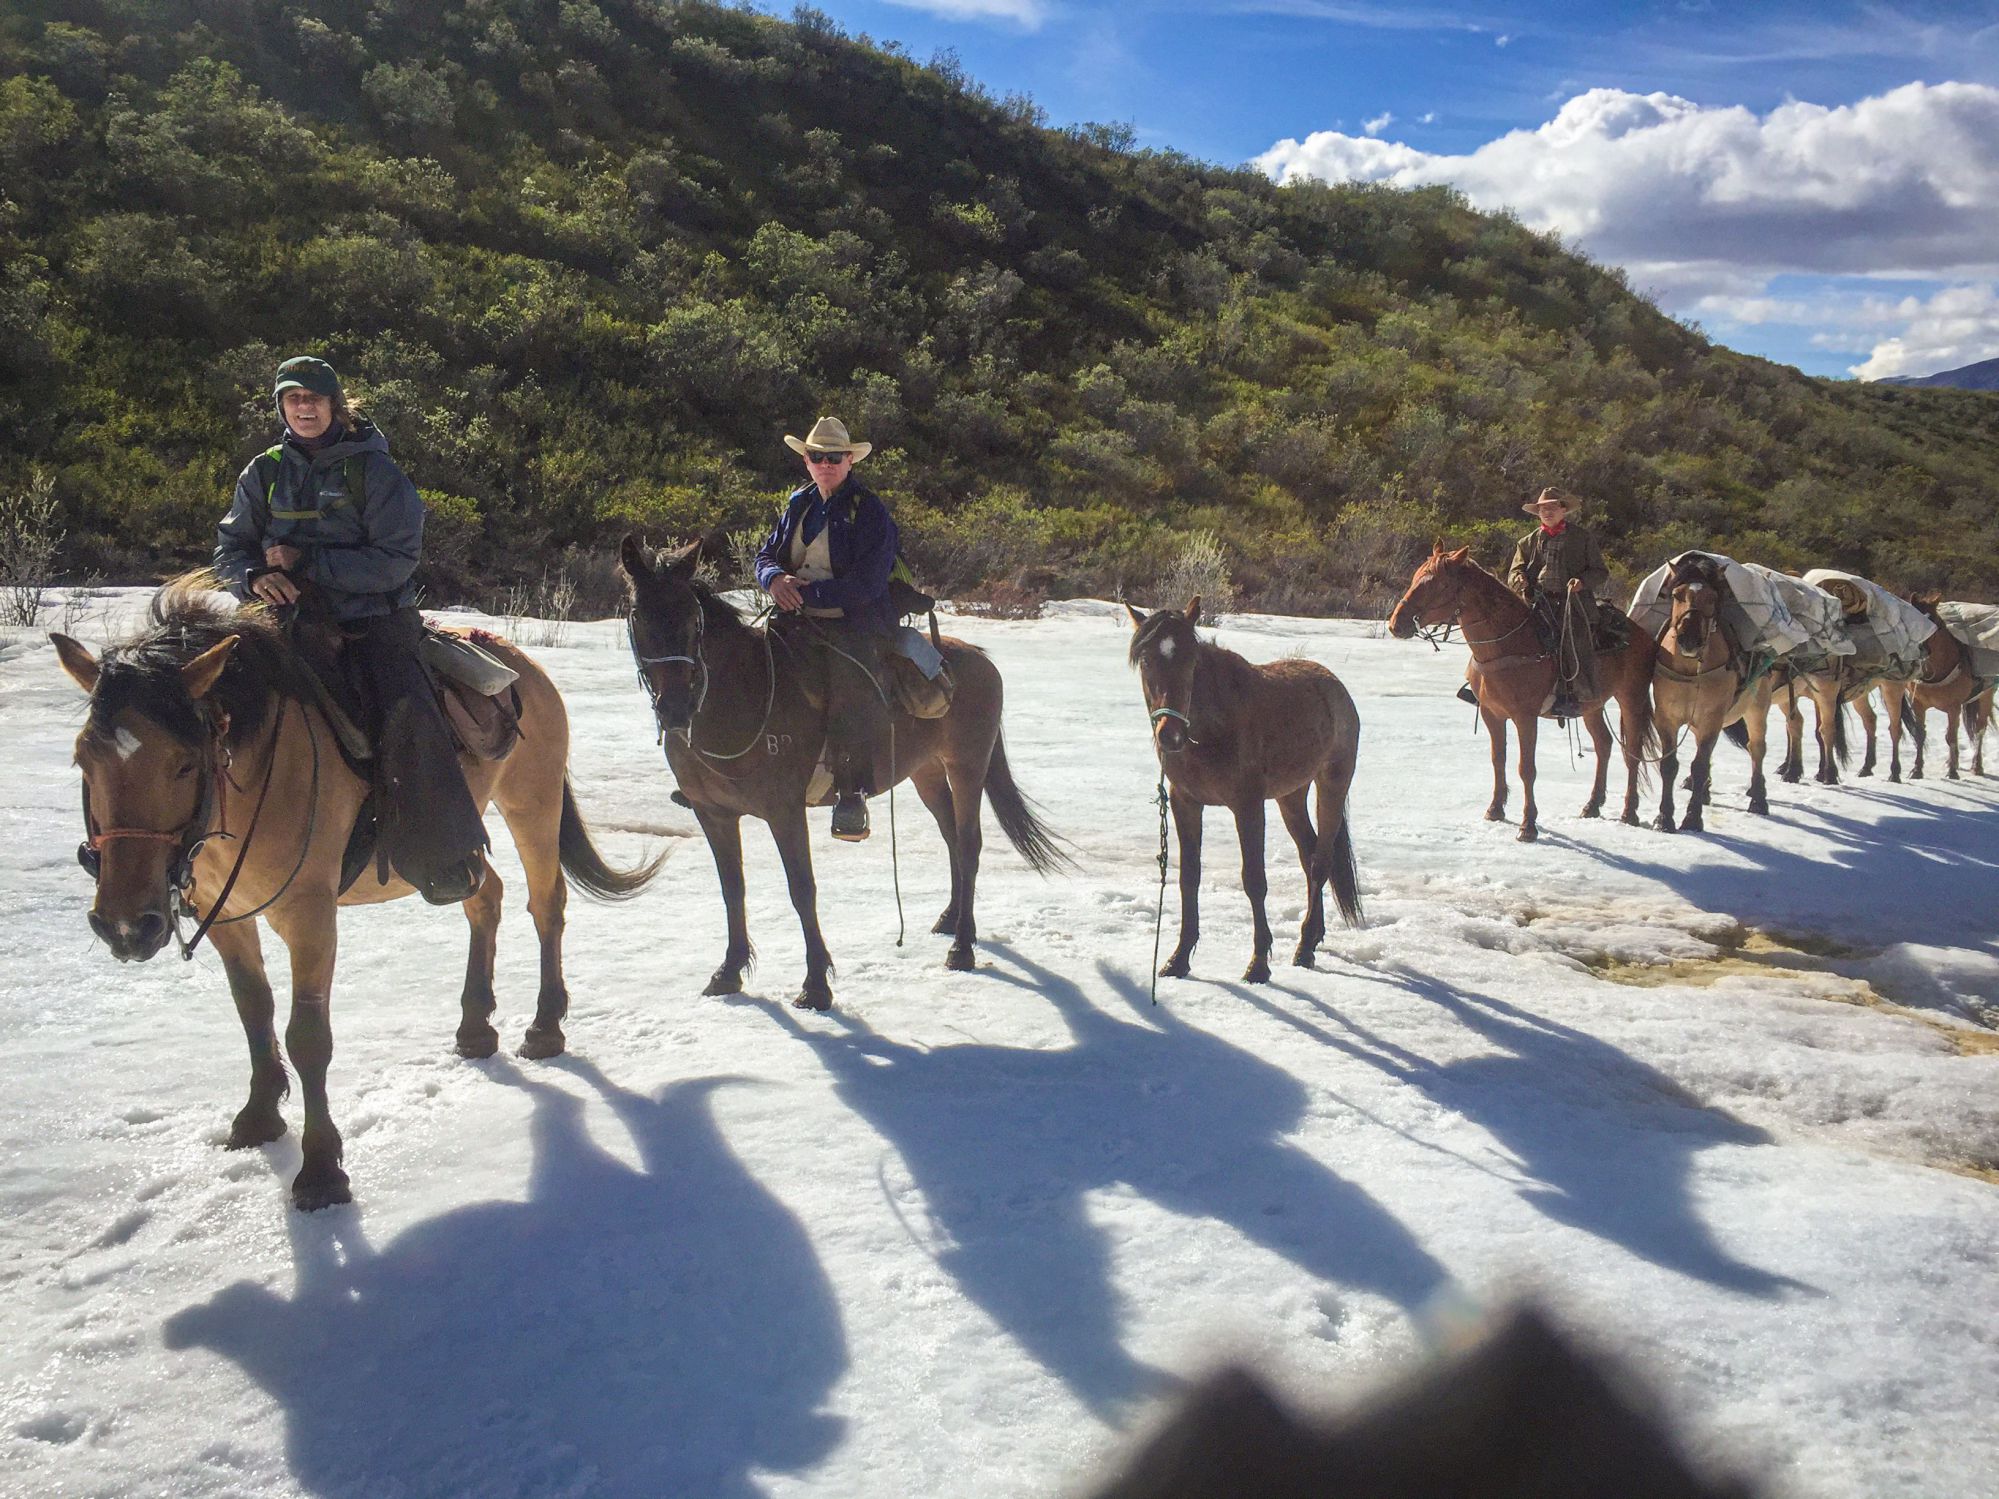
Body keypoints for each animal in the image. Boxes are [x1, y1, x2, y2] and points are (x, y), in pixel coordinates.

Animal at [52, 579, 663, 1215]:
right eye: (83, 759)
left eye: (184, 762)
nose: (127, 926)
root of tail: (525, 666)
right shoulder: (228, 918)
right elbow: (253, 1011)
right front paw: (258, 1118)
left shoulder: (309, 915)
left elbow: (307, 1037)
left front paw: (321, 1172)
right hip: (457, 847)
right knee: (484, 898)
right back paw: (474, 1028)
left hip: (531, 803)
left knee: (546, 904)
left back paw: (545, 1029)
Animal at [623, 535, 1071, 1015]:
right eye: (638, 617)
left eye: (693, 619)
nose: (674, 710)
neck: (741, 696)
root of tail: (980, 659)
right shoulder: (714, 815)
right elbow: (732, 890)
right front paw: (728, 972)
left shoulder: (784, 812)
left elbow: (802, 889)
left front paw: (816, 985)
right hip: (927, 773)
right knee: (951, 835)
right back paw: (950, 919)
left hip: (968, 765)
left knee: (969, 843)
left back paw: (963, 948)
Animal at [1127, 599, 1359, 987]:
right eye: (1145, 660)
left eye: (1191, 660)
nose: (1170, 735)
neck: (1211, 730)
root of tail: (1335, 686)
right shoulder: (1185, 803)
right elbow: (1188, 877)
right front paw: (1178, 959)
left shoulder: (1247, 806)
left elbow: (1254, 881)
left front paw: (1258, 964)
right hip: (1290, 796)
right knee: (1308, 853)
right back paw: (1311, 937)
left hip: (1332, 784)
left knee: (1320, 862)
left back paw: (1305, 948)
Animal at [1383, 547, 1663, 839]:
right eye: (1415, 578)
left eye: (1440, 585)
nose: (1395, 624)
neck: (1508, 645)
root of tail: (1641, 633)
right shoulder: (1491, 714)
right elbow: (1498, 760)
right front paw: (1495, 809)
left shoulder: (1525, 718)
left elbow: (1526, 769)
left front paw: (1528, 826)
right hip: (1592, 705)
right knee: (1604, 744)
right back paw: (1592, 804)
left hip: (1632, 698)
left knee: (1632, 752)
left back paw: (1629, 812)